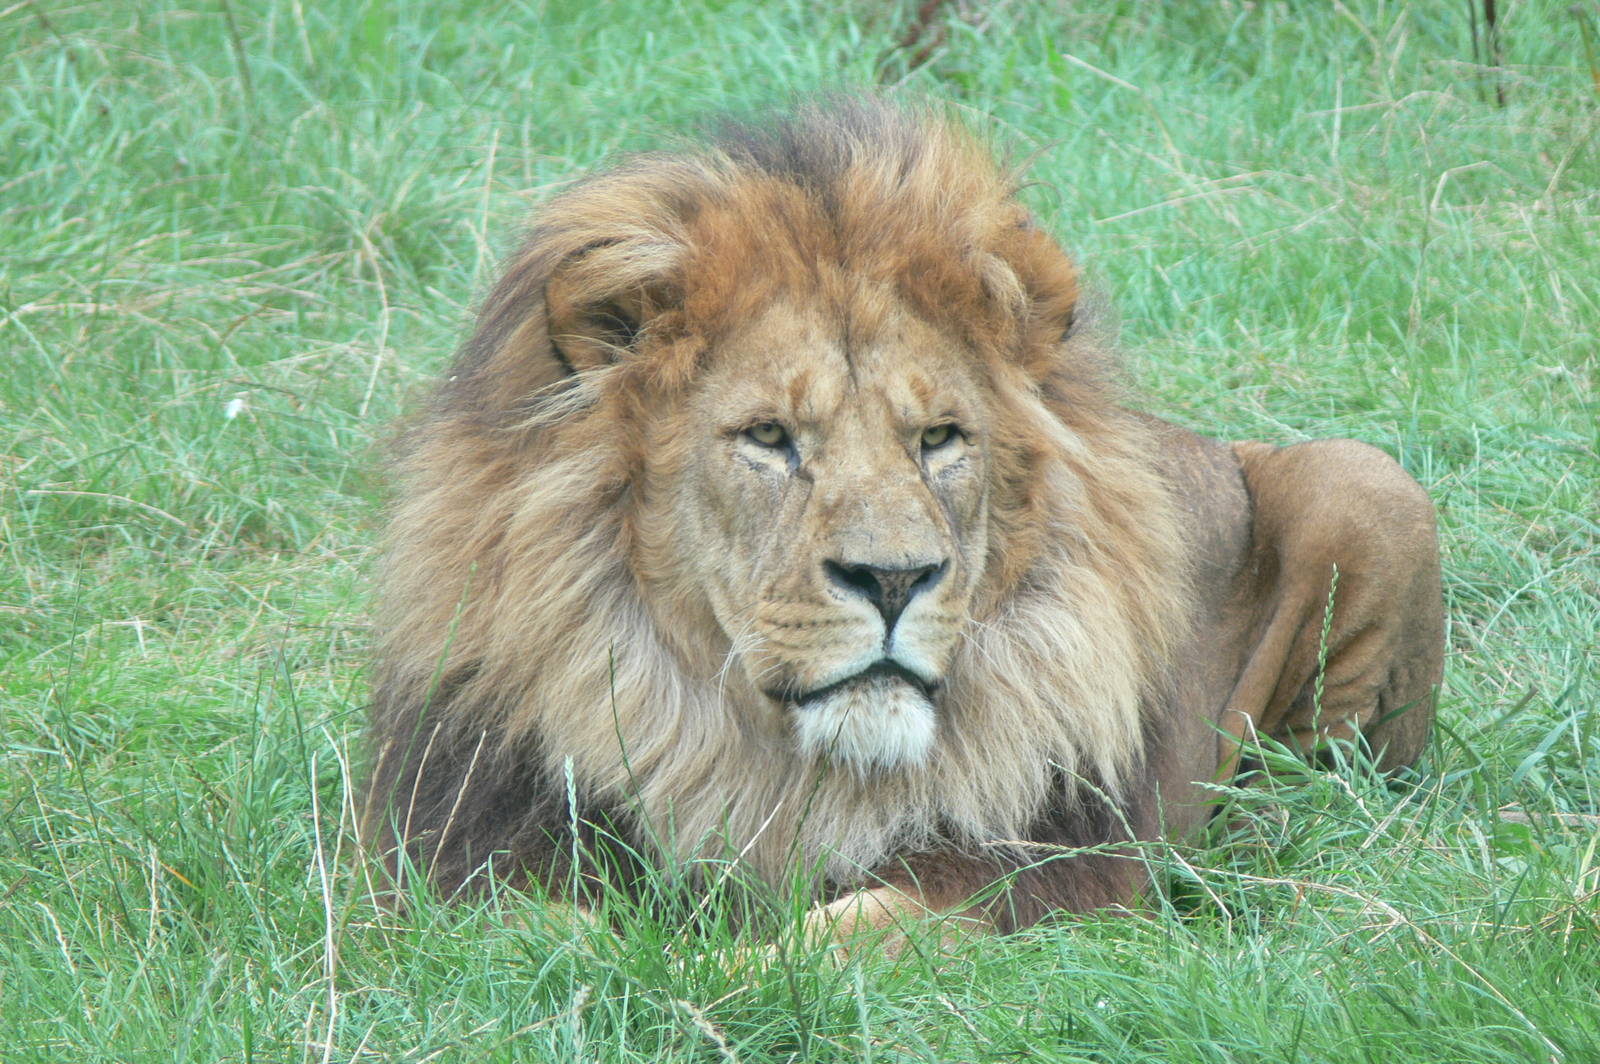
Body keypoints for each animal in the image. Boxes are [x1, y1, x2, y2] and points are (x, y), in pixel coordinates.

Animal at [362, 100, 1445, 943]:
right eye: (769, 436)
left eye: (938, 438)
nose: (892, 580)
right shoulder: (468, 846)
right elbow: (540, 931)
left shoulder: (1050, 865)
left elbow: (861, 929)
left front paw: (736, 970)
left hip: (1373, 486)